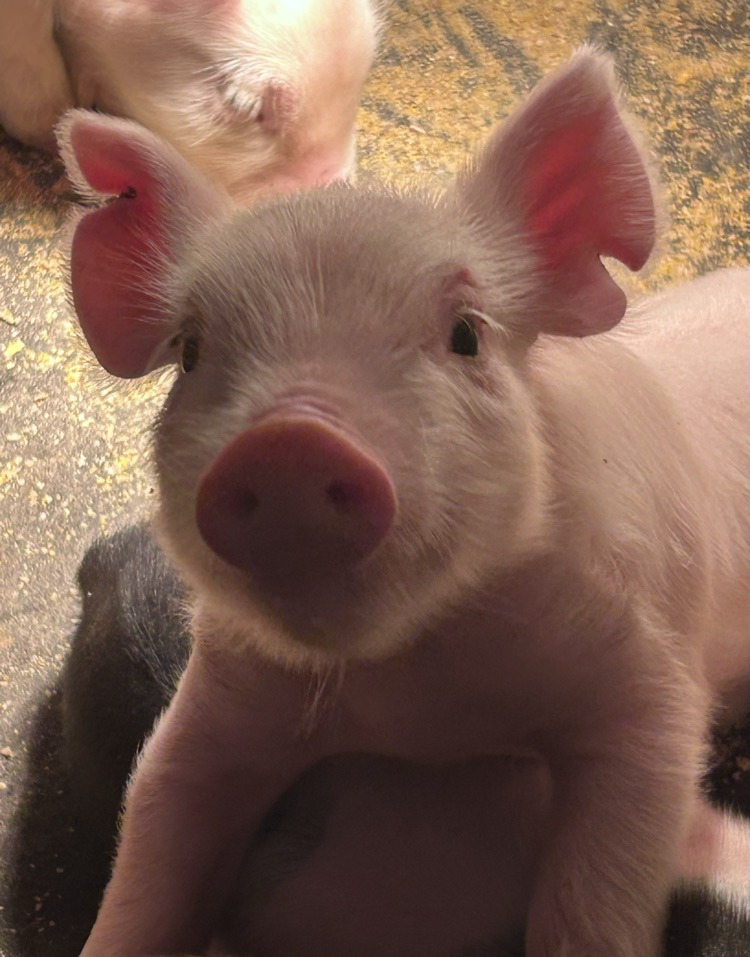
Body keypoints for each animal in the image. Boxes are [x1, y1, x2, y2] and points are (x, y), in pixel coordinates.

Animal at [57, 46, 749, 956]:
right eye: (193, 352)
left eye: (466, 335)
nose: (290, 441)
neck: (416, 703)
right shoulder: (224, 693)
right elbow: (155, 829)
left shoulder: (644, 672)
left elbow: (601, 888)